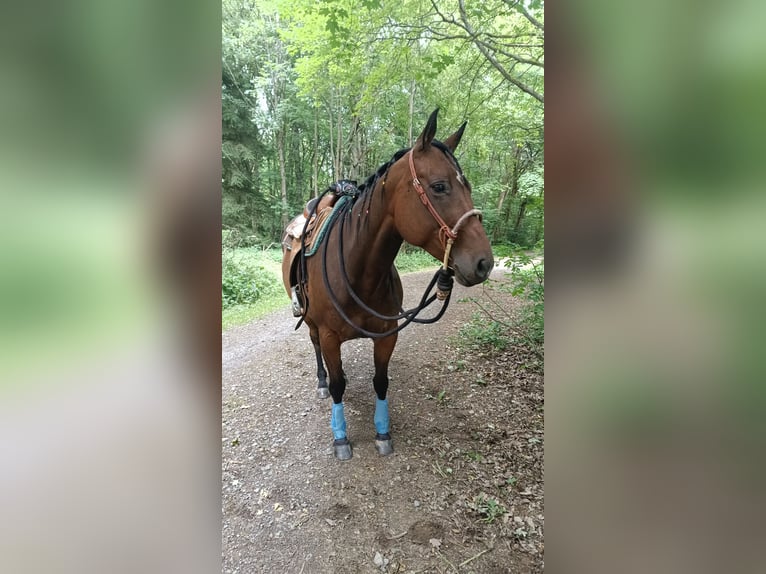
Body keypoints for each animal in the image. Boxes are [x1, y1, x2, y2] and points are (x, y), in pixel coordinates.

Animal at [282, 108, 492, 462]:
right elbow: (338, 386)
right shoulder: (329, 335)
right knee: (316, 350)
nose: (484, 263)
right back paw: (322, 382)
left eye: (469, 186)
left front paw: (382, 432)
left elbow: (381, 381)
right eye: (439, 186)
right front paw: (341, 437)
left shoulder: (387, 334)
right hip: (311, 323)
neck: (358, 273)